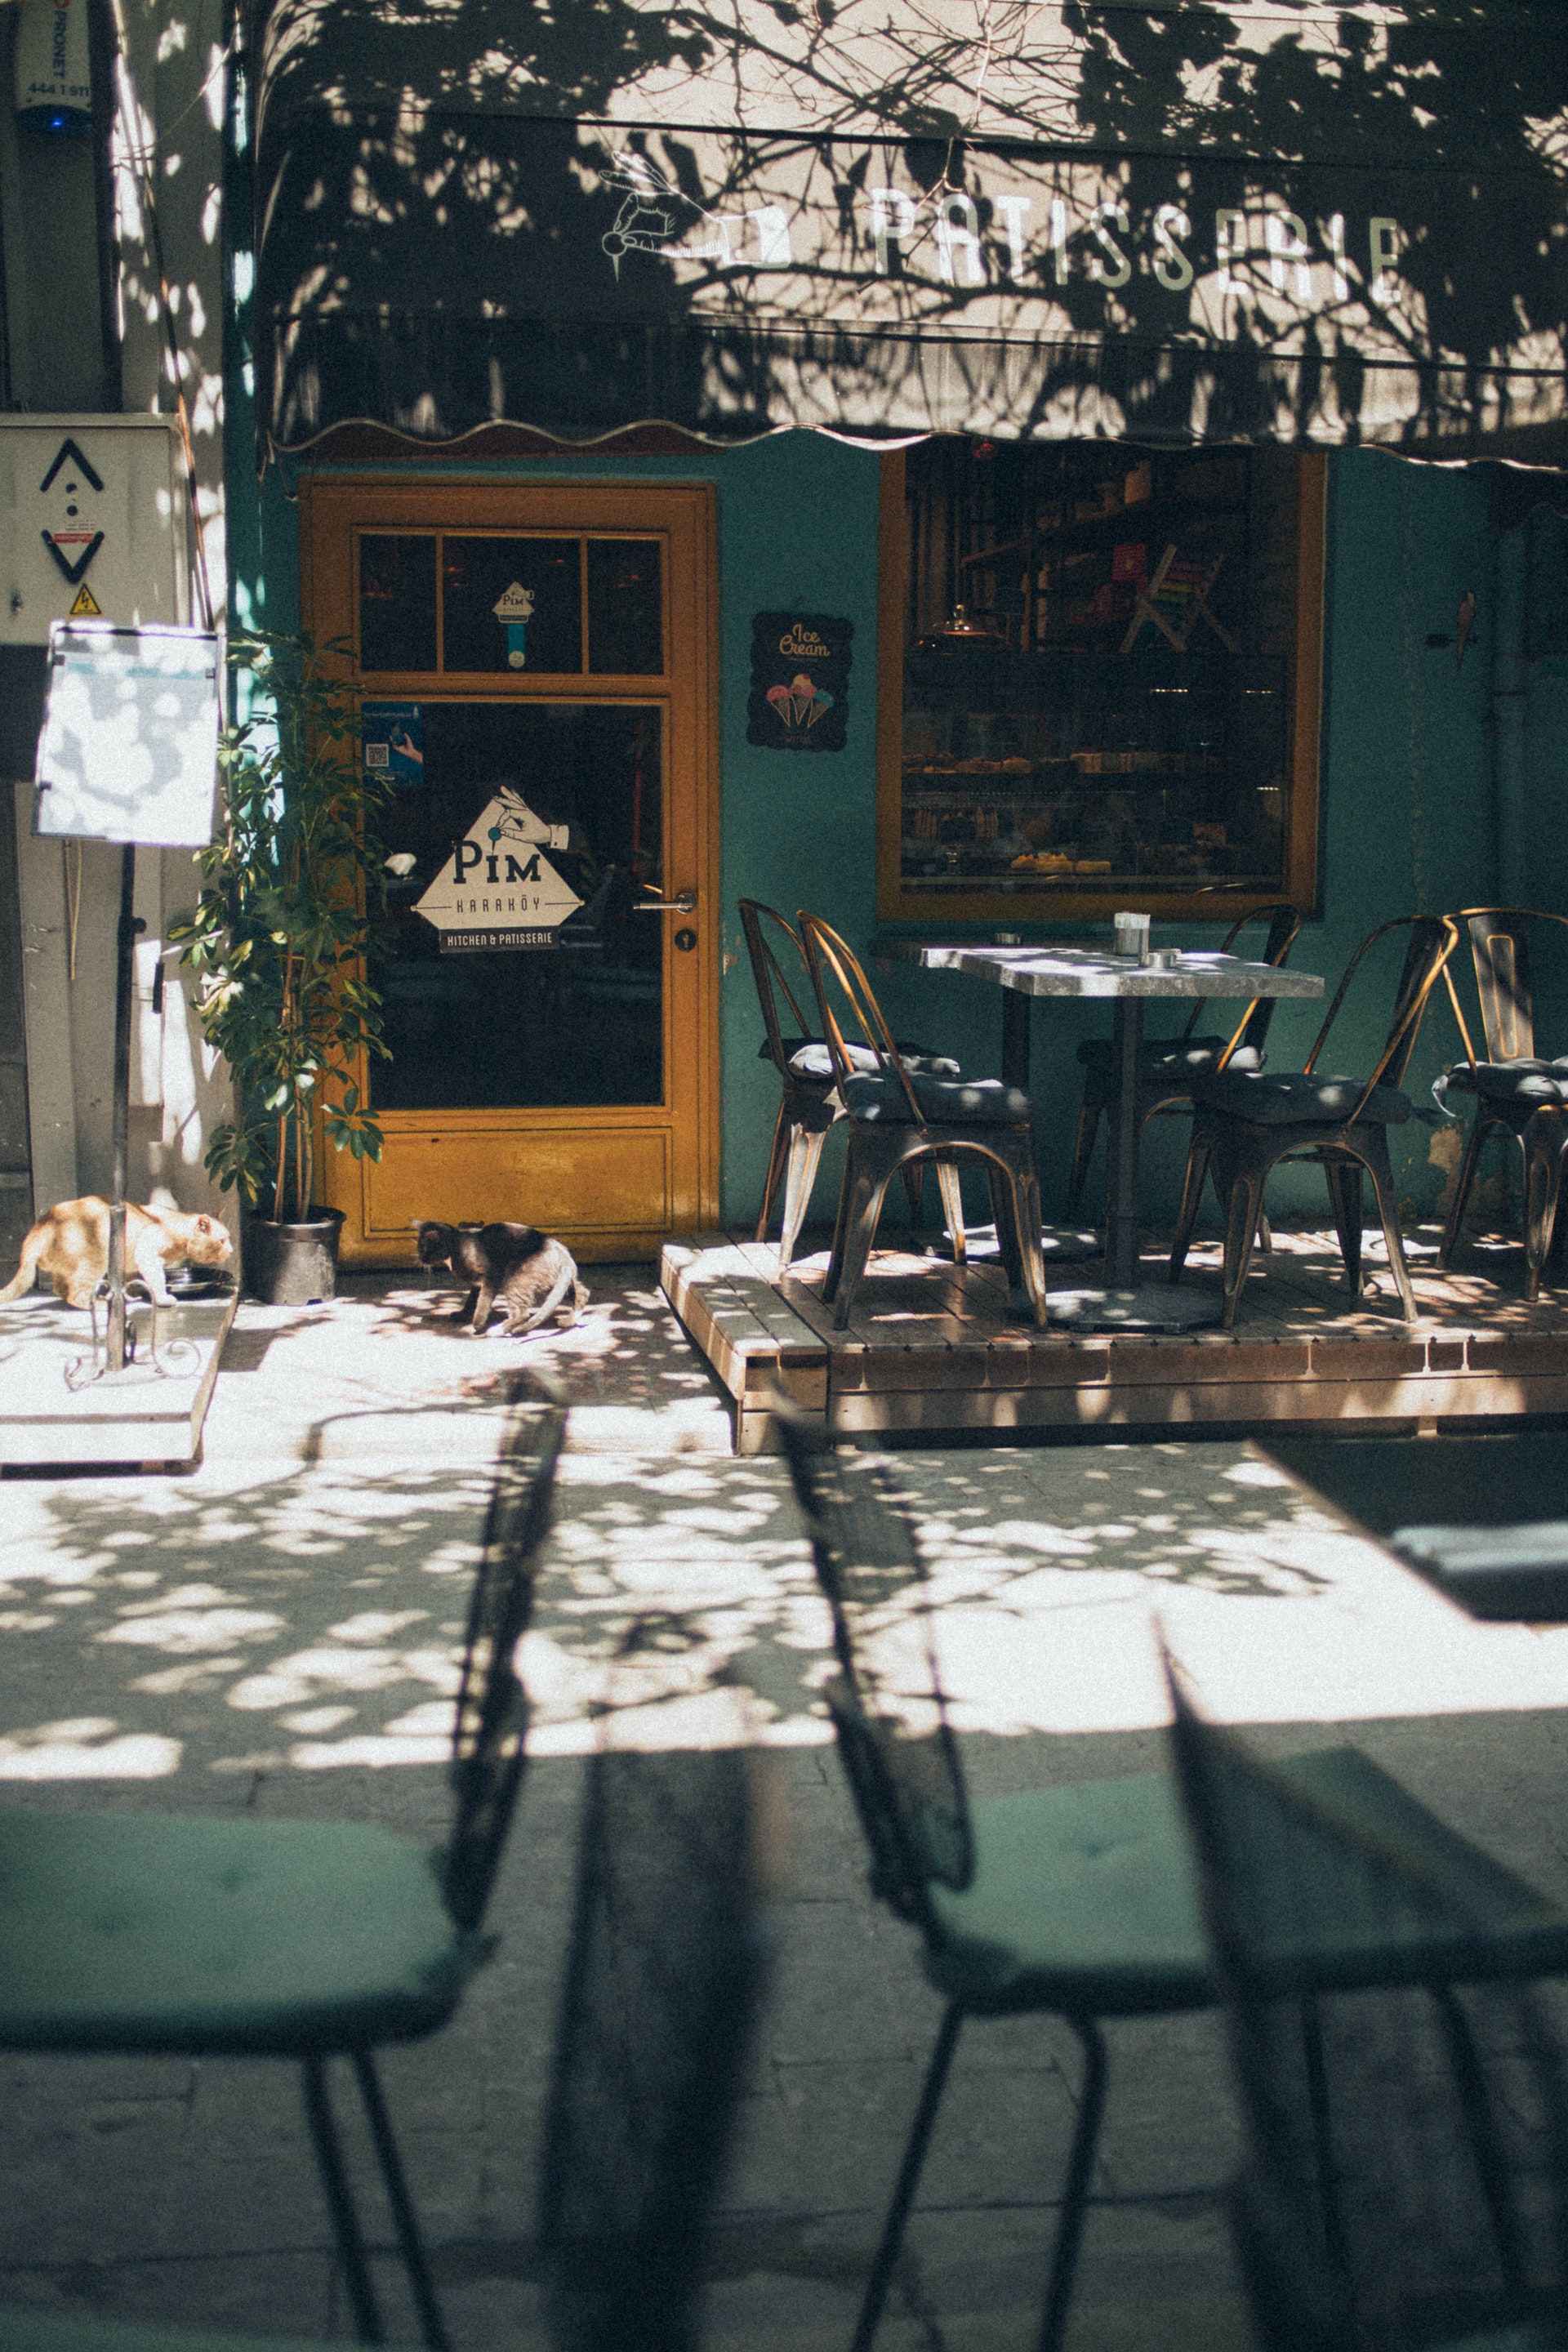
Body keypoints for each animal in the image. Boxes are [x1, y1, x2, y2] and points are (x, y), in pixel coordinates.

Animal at [0, 1195, 232, 1307]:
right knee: (74, 1293)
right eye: (222, 1241)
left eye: (229, 1239)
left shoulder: (128, 1263)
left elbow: (129, 1282)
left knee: (60, 1290)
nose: (231, 1251)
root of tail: (43, 1222)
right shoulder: (147, 1257)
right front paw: (162, 1298)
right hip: (97, 1260)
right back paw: (101, 1304)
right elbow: (157, 1281)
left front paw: (132, 1295)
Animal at [416, 1223, 587, 1335]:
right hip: (555, 1284)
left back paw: (498, 1329)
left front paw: (477, 1324)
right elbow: (471, 1300)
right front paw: (462, 1315)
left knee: (522, 1313)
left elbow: (482, 1302)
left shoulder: (492, 1277)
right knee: (582, 1293)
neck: (458, 1246)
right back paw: (569, 1320)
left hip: (516, 1280)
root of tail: (563, 1253)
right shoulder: (477, 1284)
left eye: (423, 1248)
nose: (420, 1259)